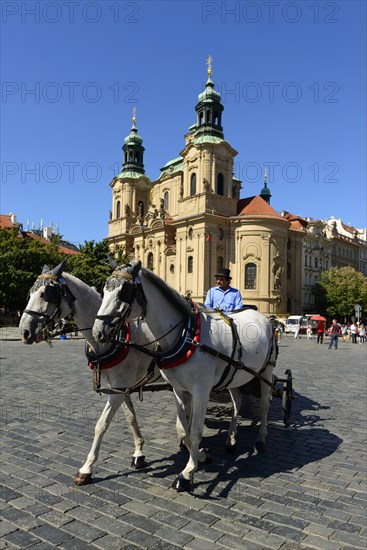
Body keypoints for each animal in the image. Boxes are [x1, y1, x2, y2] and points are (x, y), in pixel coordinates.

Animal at [19, 260, 163, 486]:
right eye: (30, 293)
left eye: (45, 295)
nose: (24, 331)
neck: (114, 339)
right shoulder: (119, 388)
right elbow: (130, 417)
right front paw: (139, 452)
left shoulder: (118, 391)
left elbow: (101, 425)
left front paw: (86, 469)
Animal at [93, 260, 278, 494]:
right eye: (104, 289)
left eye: (124, 293)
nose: (98, 332)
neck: (186, 334)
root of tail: (263, 317)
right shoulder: (179, 390)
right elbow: (183, 430)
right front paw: (202, 456)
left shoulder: (201, 391)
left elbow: (196, 431)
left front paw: (187, 473)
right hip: (236, 374)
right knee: (237, 402)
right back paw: (231, 439)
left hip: (266, 371)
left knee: (264, 405)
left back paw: (261, 440)